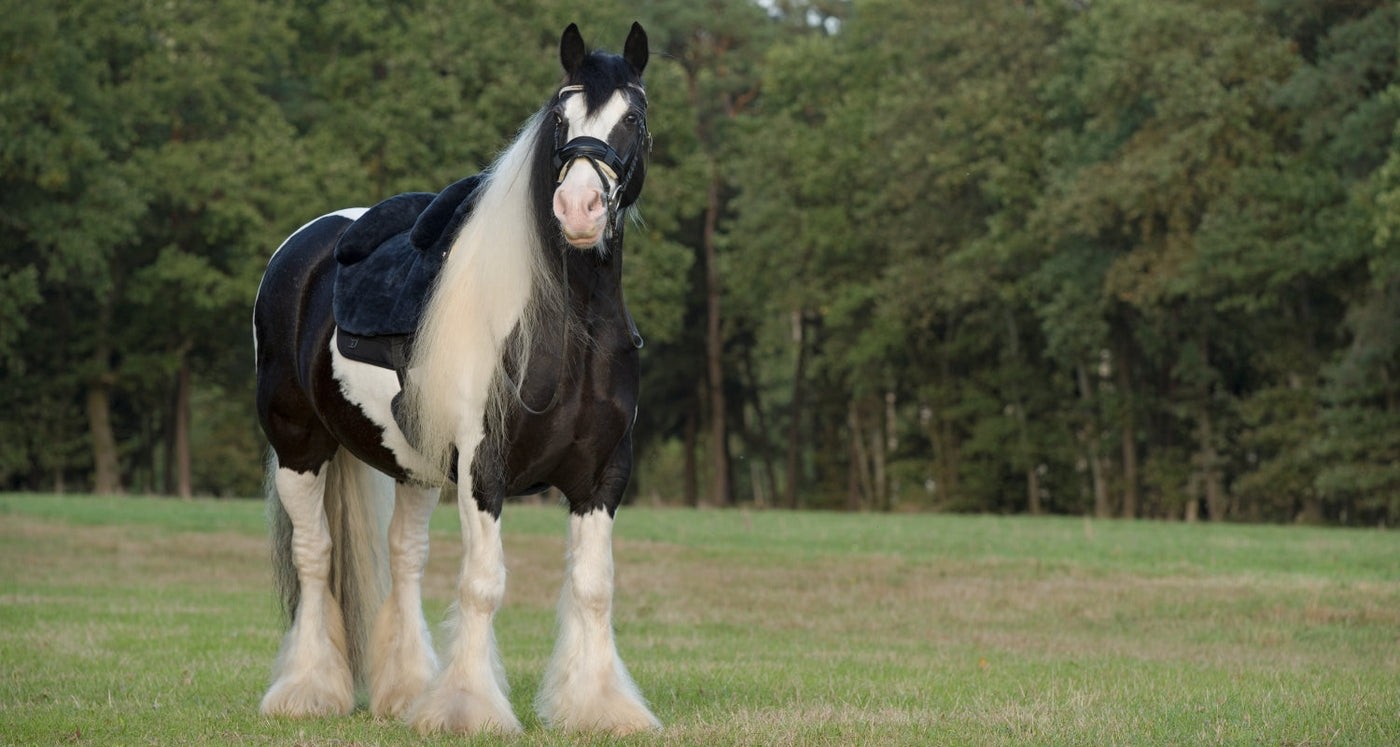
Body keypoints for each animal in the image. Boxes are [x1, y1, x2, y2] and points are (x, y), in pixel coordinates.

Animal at [253, 23, 660, 738]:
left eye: (632, 117)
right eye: (561, 116)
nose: (579, 209)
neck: (567, 327)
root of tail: (301, 250)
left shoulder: (603, 475)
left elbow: (593, 586)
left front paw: (599, 707)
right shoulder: (482, 471)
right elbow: (482, 584)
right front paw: (469, 709)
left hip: (412, 467)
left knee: (405, 557)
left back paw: (406, 690)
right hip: (299, 448)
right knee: (314, 556)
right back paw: (309, 690)